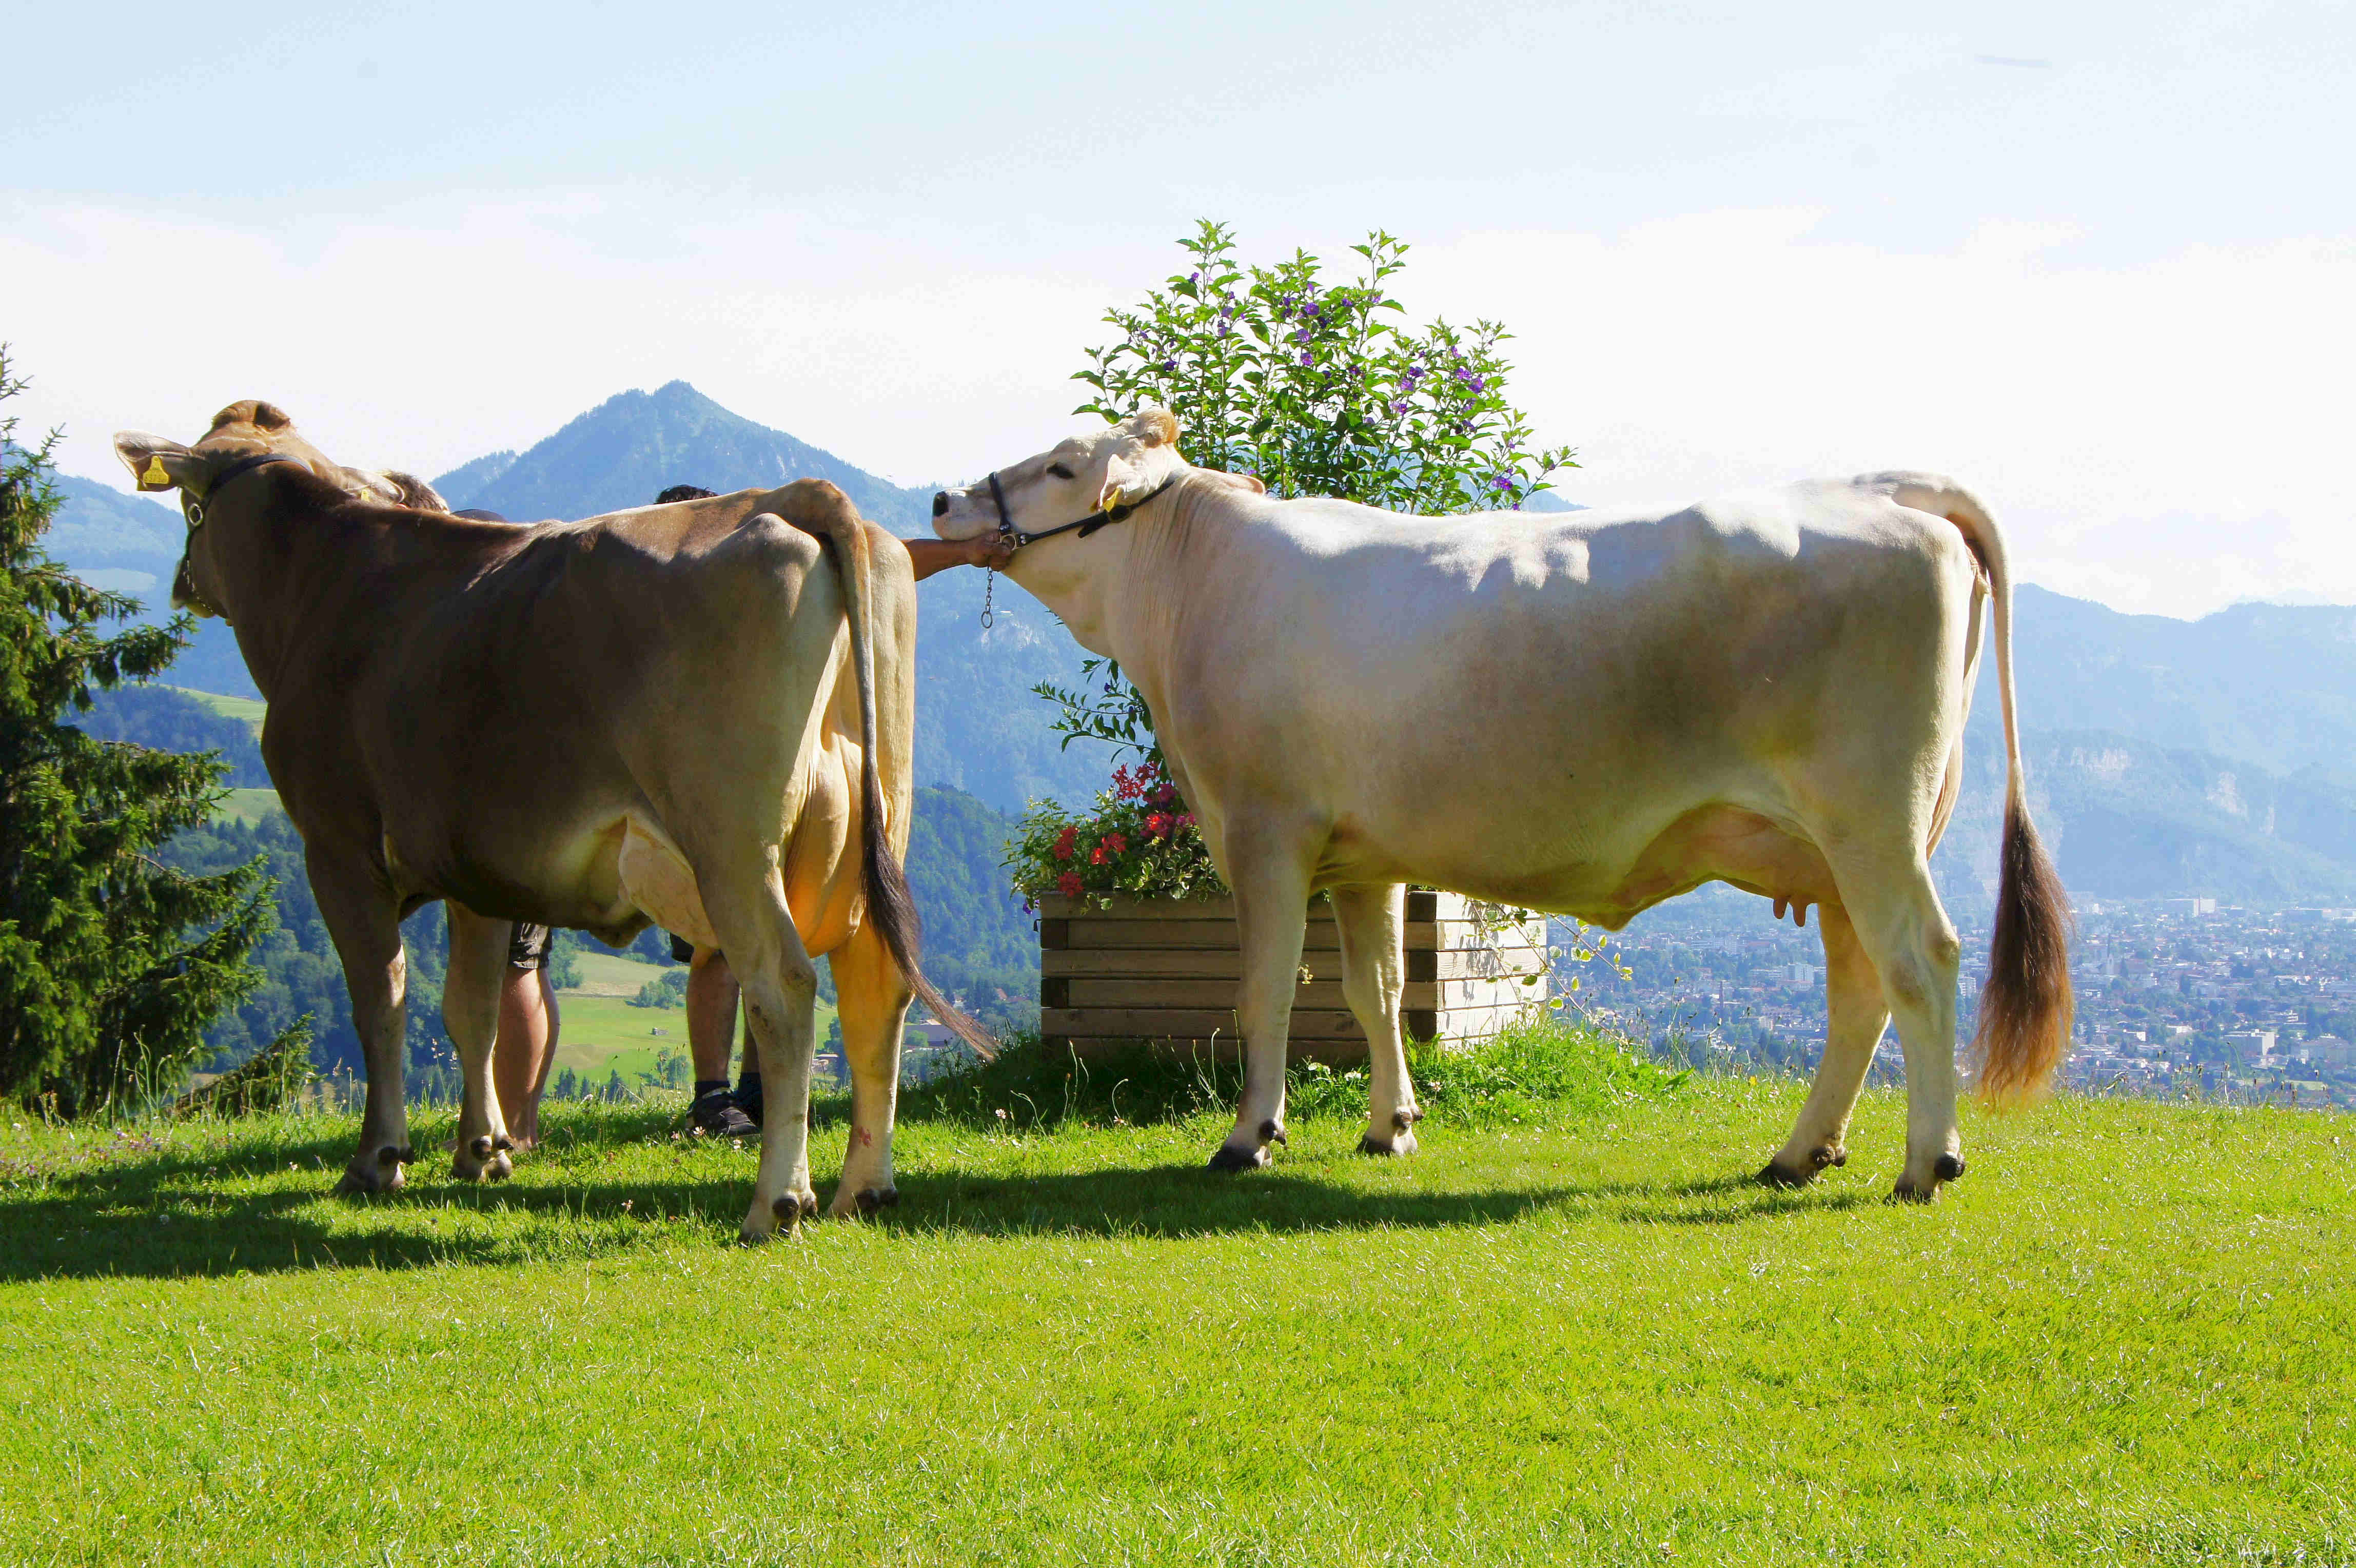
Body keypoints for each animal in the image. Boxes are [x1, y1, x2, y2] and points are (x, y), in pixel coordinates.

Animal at [116, 401, 987, 1239]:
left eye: (190, 506)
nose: (183, 582)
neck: (323, 583)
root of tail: (788, 495)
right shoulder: (475, 870)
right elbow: (471, 1012)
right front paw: (482, 1150)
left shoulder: (337, 847)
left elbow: (382, 1003)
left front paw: (379, 1159)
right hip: (877, 826)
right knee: (877, 985)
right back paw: (861, 1190)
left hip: (735, 846)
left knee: (784, 984)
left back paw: (776, 1202)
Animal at [932, 410, 2071, 1201]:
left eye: (1064, 465)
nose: (943, 500)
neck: (1191, 584)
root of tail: (1881, 488)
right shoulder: (1362, 855)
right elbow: (1375, 992)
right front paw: (1389, 1125)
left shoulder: (1263, 828)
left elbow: (1263, 994)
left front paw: (1249, 1135)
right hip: (1836, 846)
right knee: (1859, 989)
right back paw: (1800, 1152)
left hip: (1872, 819)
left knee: (1919, 962)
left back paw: (1924, 1162)